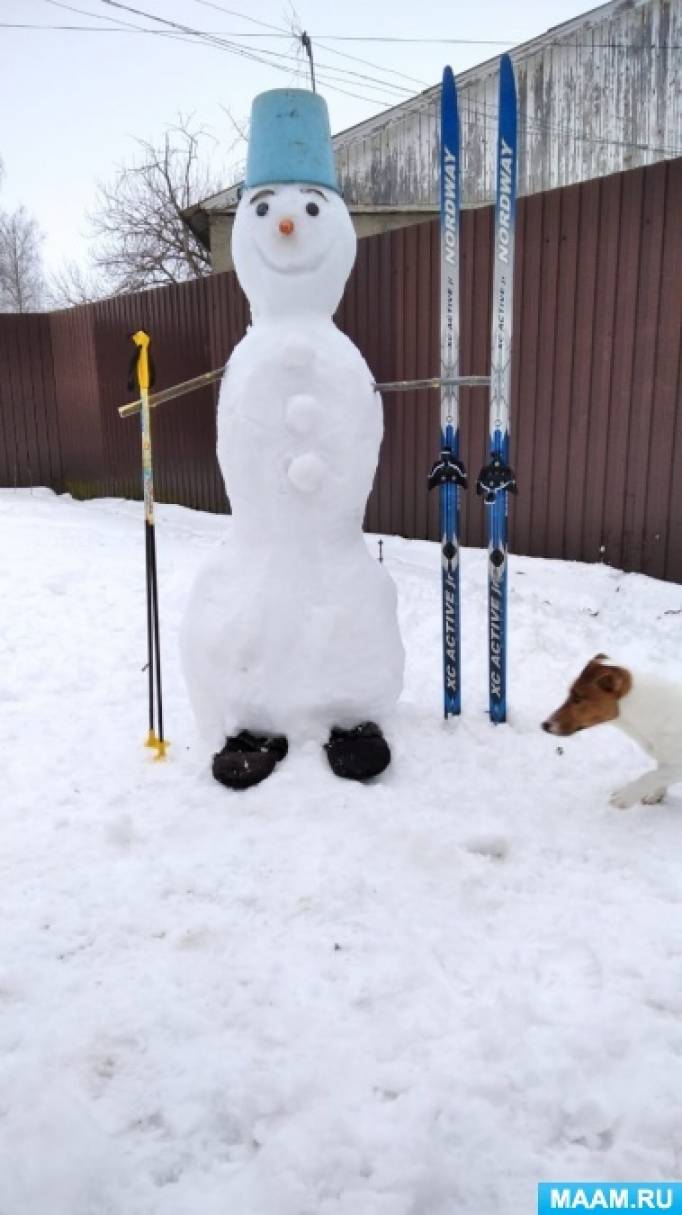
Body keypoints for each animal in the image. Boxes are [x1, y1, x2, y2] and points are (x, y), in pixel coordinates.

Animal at [542, 651, 680, 811]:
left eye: (578, 698)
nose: (544, 725)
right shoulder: (664, 758)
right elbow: (660, 775)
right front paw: (654, 795)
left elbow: (652, 775)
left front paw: (624, 797)